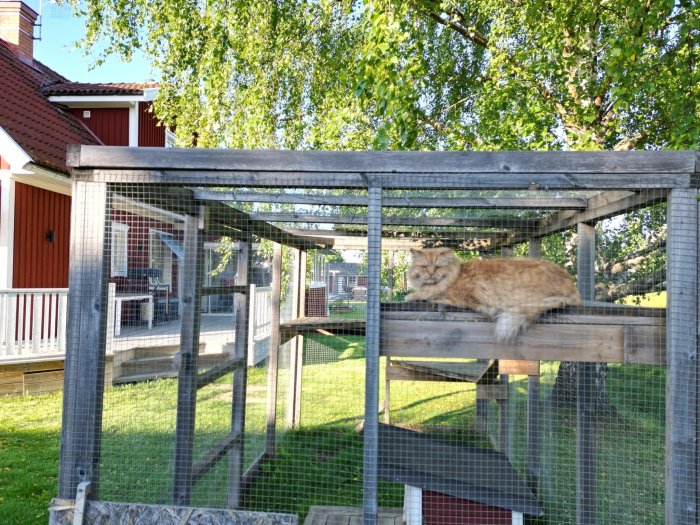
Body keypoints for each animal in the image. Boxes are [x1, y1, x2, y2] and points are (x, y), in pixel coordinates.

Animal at [404, 247, 580, 342]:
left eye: (438, 267)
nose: (431, 274)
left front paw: (412, 296)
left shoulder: (460, 297)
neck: (457, 274)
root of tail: (571, 285)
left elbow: (427, 294)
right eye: (424, 266)